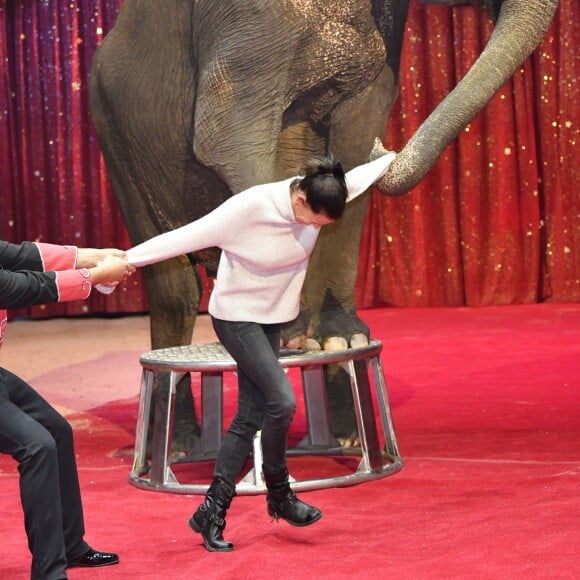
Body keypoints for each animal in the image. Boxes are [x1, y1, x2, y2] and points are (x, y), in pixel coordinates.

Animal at [89, 0, 556, 454]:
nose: (386, 151)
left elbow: (359, 125)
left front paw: (340, 340)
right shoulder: (244, 17)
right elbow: (224, 131)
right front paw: (290, 322)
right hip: (115, 136)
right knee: (176, 293)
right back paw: (180, 445)